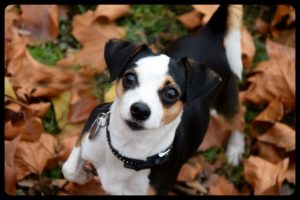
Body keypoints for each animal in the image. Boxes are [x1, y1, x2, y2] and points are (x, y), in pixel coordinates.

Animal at [62, 4, 245, 195]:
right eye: (129, 78)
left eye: (171, 93)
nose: (140, 110)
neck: (127, 152)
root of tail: (209, 33)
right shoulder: (91, 129)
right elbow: (68, 169)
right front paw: (83, 176)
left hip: (225, 101)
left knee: (238, 119)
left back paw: (235, 149)